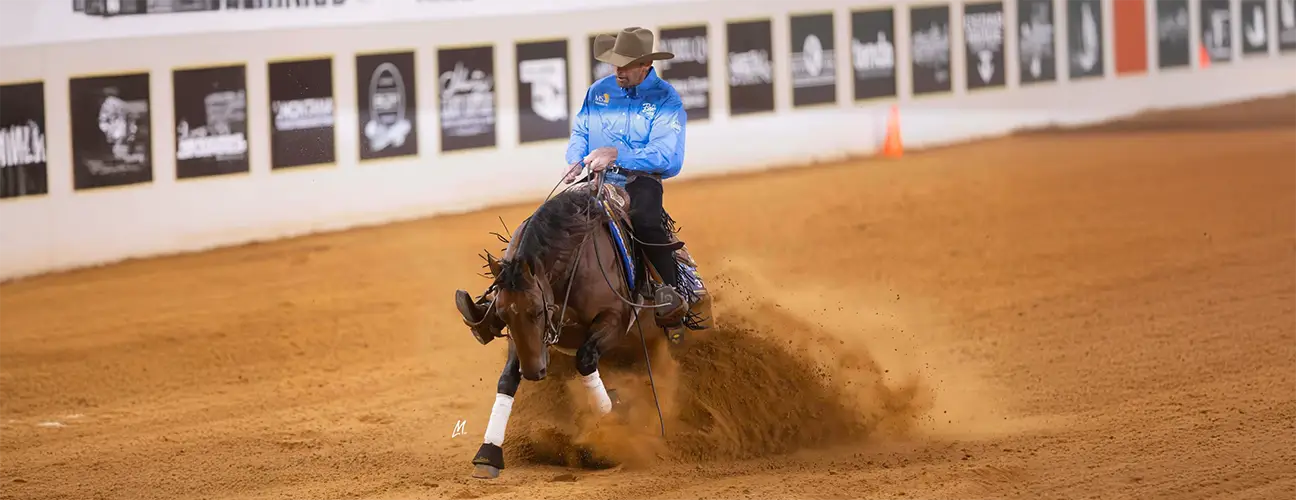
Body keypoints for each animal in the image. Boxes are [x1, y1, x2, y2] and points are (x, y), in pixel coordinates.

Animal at [465, 168, 713, 480]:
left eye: (538, 310)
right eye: (502, 314)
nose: (534, 372)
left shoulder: (614, 319)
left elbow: (584, 359)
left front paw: (610, 431)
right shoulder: (523, 340)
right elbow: (508, 378)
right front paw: (488, 454)